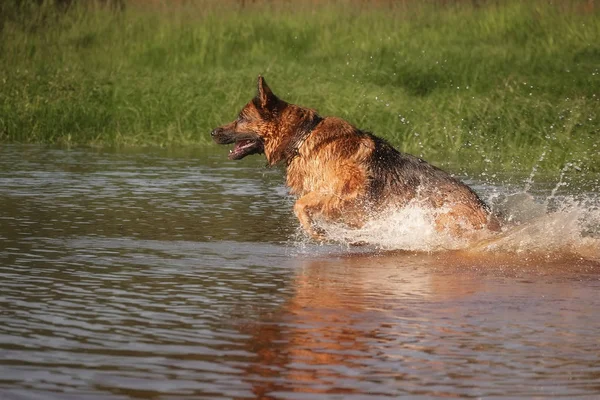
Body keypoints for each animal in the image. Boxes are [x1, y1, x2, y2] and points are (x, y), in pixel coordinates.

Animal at [212, 76, 502, 241]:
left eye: (240, 118)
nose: (212, 132)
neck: (304, 137)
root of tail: (491, 216)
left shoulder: (347, 189)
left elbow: (300, 205)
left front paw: (316, 232)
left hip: (444, 221)